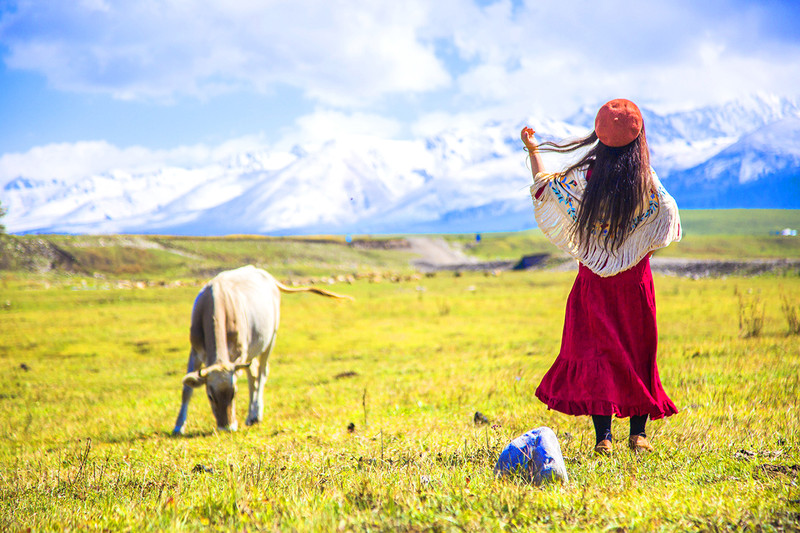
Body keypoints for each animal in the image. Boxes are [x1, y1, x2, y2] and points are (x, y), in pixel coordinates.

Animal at [173, 264, 352, 434]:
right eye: (210, 396)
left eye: (234, 393)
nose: (227, 427)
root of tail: (268, 277)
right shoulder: (195, 352)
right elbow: (187, 390)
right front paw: (179, 426)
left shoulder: (240, 353)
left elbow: (252, 379)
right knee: (254, 375)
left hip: (270, 339)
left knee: (260, 374)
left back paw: (255, 414)